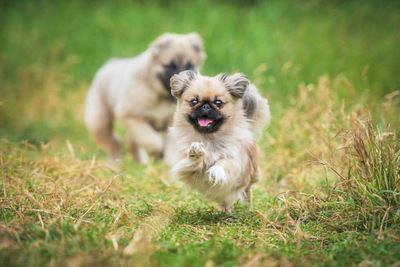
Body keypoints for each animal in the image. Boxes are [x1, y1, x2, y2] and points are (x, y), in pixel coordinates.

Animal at [83, 33, 205, 163]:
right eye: (169, 65)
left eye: (190, 65)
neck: (160, 95)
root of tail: (111, 62)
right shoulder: (133, 117)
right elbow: (151, 140)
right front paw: (158, 153)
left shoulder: (172, 123)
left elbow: (170, 146)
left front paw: (169, 162)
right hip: (99, 123)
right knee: (114, 143)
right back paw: (115, 162)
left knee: (131, 142)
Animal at [167, 71, 270, 214]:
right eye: (194, 101)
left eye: (218, 102)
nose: (205, 106)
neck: (209, 138)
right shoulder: (185, 169)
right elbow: (192, 162)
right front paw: (196, 153)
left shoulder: (234, 160)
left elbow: (224, 162)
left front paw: (215, 171)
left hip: (249, 180)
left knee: (246, 193)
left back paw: (246, 210)